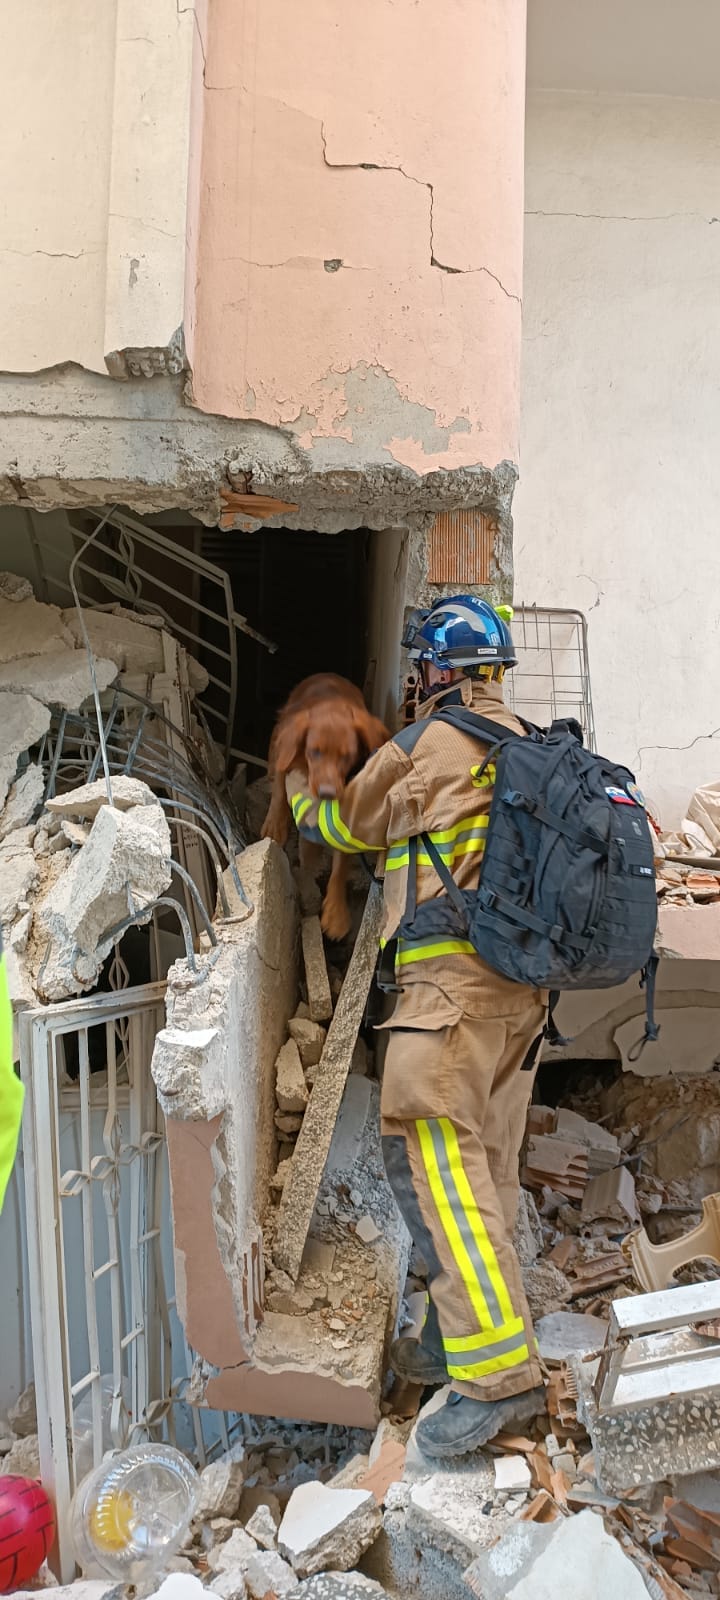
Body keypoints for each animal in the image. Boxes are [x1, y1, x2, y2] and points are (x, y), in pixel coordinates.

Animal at [261, 674, 389, 940]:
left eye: (348, 756)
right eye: (315, 752)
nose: (328, 794)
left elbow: (340, 863)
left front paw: (336, 913)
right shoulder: (287, 749)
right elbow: (279, 788)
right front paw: (275, 825)